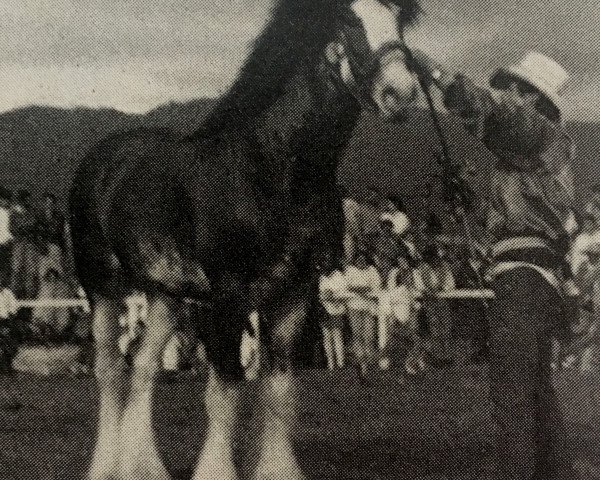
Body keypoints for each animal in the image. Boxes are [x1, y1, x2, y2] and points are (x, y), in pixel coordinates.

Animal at [69, 1, 422, 478]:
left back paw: (142, 467)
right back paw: (106, 465)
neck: (272, 170)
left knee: (143, 367)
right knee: (109, 371)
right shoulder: (229, 296)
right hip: (102, 286)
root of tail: (103, 157)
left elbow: (278, 392)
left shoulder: (296, 292)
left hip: (164, 293)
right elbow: (224, 395)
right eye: (349, 20)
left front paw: (275, 467)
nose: (401, 93)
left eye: (399, 20)